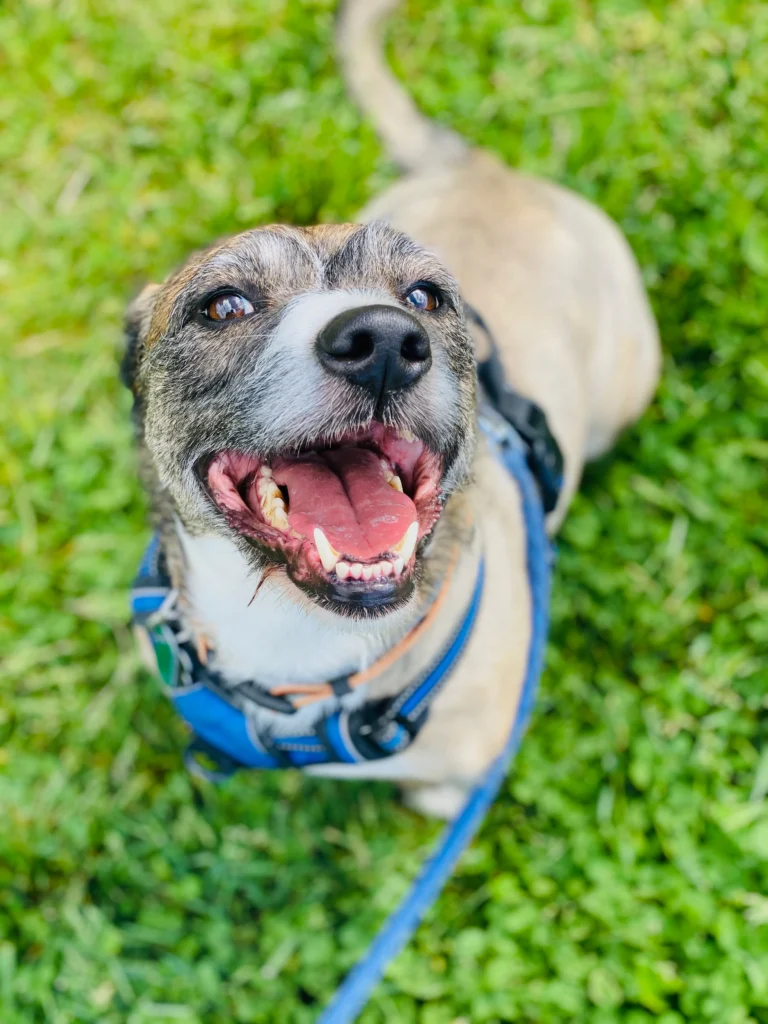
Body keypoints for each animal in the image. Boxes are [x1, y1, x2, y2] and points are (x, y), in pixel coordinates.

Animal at [124, 0, 663, 815]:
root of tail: (484, 168)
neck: (304, 640)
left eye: (425, 297)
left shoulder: (459, 779)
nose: (382, 340)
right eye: (223, 306)